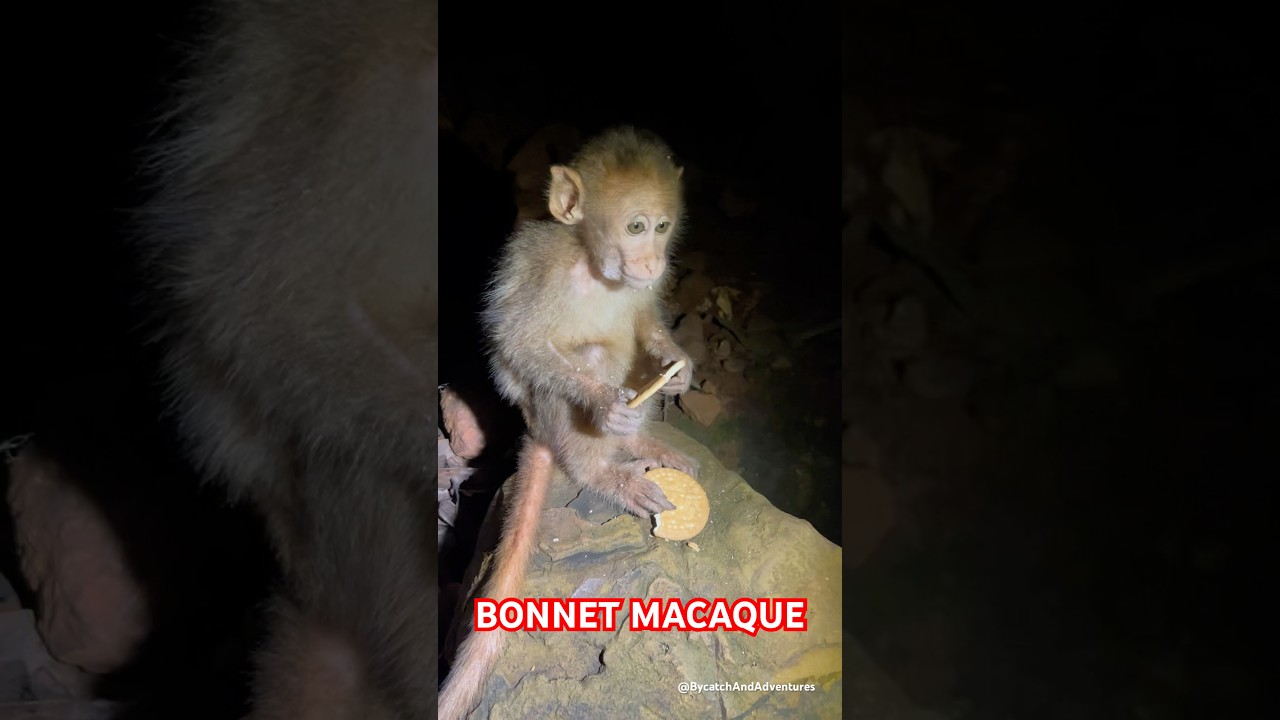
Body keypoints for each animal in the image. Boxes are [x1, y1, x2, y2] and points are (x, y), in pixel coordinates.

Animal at [438, 126, 699, 719]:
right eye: (634, 227)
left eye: (663, 227)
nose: (652, 261)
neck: (597, 268)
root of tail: (539, 435)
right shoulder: (544, 272)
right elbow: (518, 344)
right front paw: (605, 405)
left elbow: (646, 321)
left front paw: (679, 368)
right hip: (546, 416)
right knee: (592, 361)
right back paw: (602, 470)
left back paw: (644, 440)